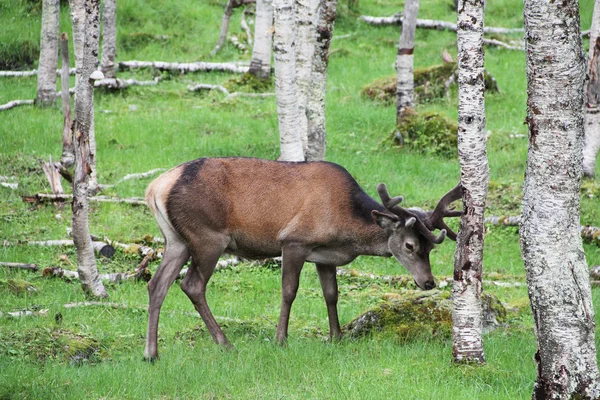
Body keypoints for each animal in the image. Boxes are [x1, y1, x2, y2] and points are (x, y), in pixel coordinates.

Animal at [143, 157, 462, 360]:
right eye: (409, 245)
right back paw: (225, 344)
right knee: (192, 285)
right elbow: (289, 291)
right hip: (208, 236)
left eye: (430, 248)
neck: (345, 226)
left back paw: (151, 353)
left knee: (156, 284)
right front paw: (280, 339)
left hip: (176, 240)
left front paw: (336, 337)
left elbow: (331, 294)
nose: (429, 282)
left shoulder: (326, 256)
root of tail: (155, 187)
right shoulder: (294, 241)